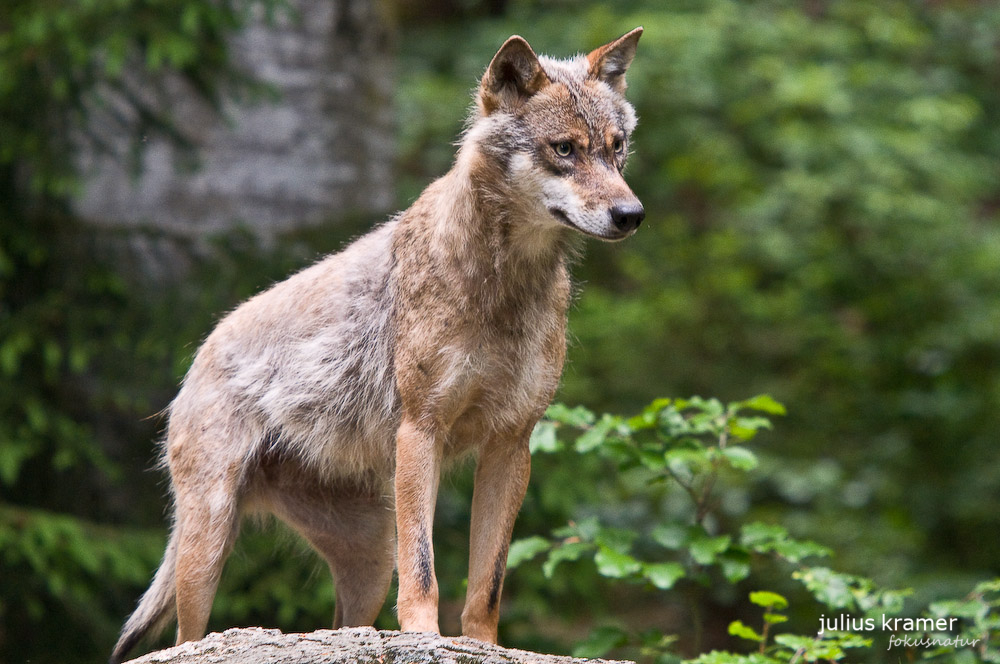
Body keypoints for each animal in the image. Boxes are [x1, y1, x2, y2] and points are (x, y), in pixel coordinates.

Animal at [109, 28, 640, 664]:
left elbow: (486, 585)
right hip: (208, 545)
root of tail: (198, 358)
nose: (632, 214)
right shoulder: (421, 430)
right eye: (564, 149)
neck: (502, 286)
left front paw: (481, 645)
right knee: (189, 637)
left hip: (368, 559)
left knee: (344, 624)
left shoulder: (511, 445)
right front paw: (424, 637)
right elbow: (426, 570)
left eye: (616, 149)